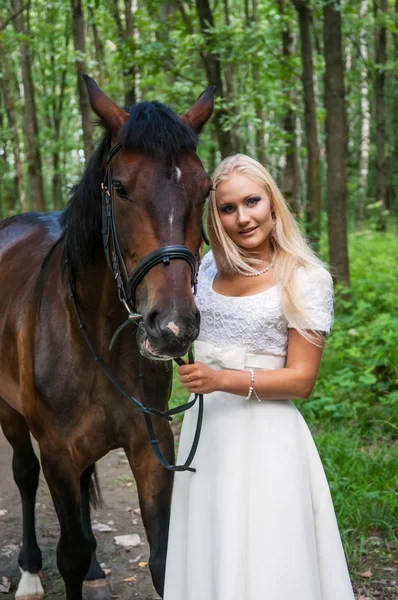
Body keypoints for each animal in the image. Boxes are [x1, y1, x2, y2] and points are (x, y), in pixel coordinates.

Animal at [0, 78, 215, 600]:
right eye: (119, 188)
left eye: (205, 188)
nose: (173, 325)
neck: (97, 340)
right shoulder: (56, 451)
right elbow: (70, 555)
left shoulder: (152, 444)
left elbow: (161, 559)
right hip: (9, 414)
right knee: (24, 475)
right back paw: (30, 572)